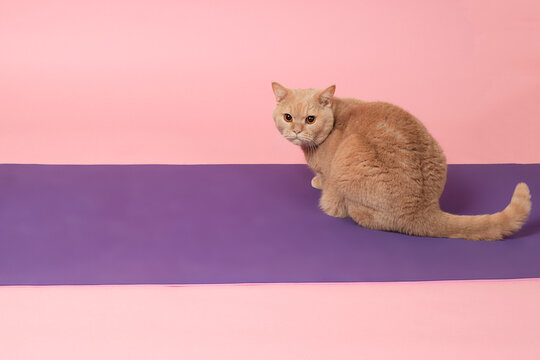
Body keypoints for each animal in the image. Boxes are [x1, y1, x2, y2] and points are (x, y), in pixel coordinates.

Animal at [270, 82, 532, 240]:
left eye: (310, 119)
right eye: (288, 117)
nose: (296, 131)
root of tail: (424, 208)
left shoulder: (330, 171)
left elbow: (325, 182)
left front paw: (318, 183)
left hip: (351, 149)